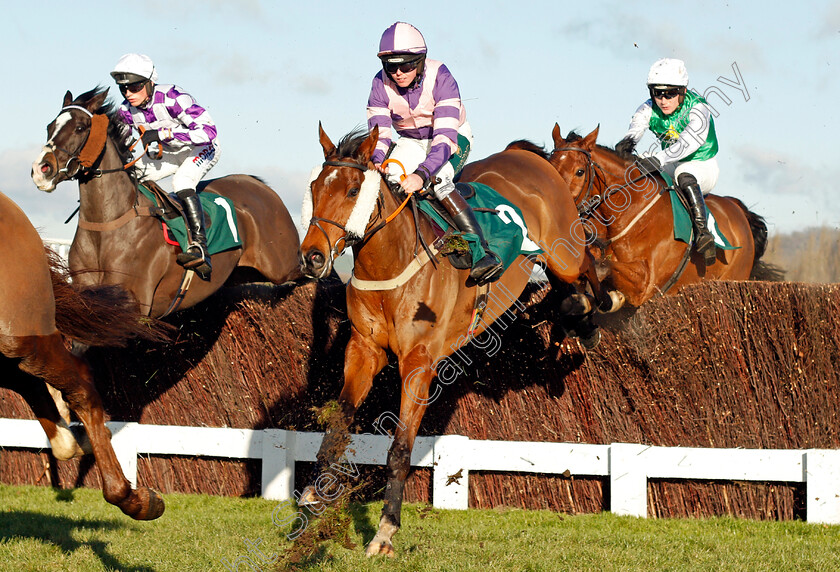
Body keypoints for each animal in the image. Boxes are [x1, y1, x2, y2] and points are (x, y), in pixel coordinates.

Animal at [31, 87, 304, 318]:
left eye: (80, 127)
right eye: (49, 126)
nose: (41, 170)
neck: (107, 225)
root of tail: (258, 185)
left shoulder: (134, 305)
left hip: (282, 265)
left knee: (304, 273)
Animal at [298, 125, 612, 560]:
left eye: (352, 189)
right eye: (314, 186)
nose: (312, 257)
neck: (391, 264)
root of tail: (530, 156)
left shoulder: (419, 363)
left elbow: (400, 448)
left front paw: (385, 531)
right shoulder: (362, 351)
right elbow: (336, 429)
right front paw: (312, 501)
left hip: (565, 248)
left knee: (587, 262)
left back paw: (592, 313)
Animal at [520, 123, 772, 306]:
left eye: (580, 171)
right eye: (550, 166)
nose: (555, 210)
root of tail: (738, 209)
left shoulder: (645, 284)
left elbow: (603, 266)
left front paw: (608, 297)